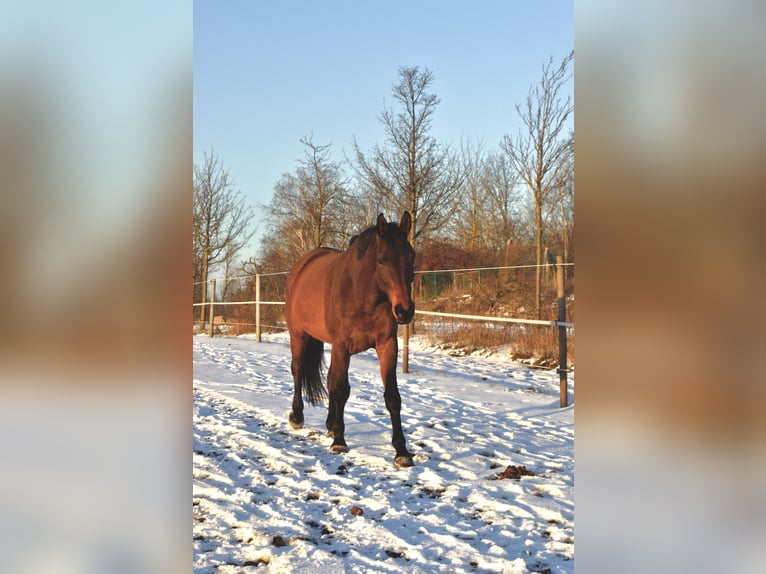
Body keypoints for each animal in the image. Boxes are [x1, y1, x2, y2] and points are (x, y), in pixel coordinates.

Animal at [285, 212, 416, 468]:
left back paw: (329, 424)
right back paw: (297, 416)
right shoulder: (342, 346)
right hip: (299, 335)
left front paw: (401, 451)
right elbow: (341, 389)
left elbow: (392, 396)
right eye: (381, 260)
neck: (363, 295)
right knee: (298, 370)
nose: (404, 310)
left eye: (411, 257)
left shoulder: (387, 345)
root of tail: (301, 266)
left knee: (328, 378)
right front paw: (339, 441)